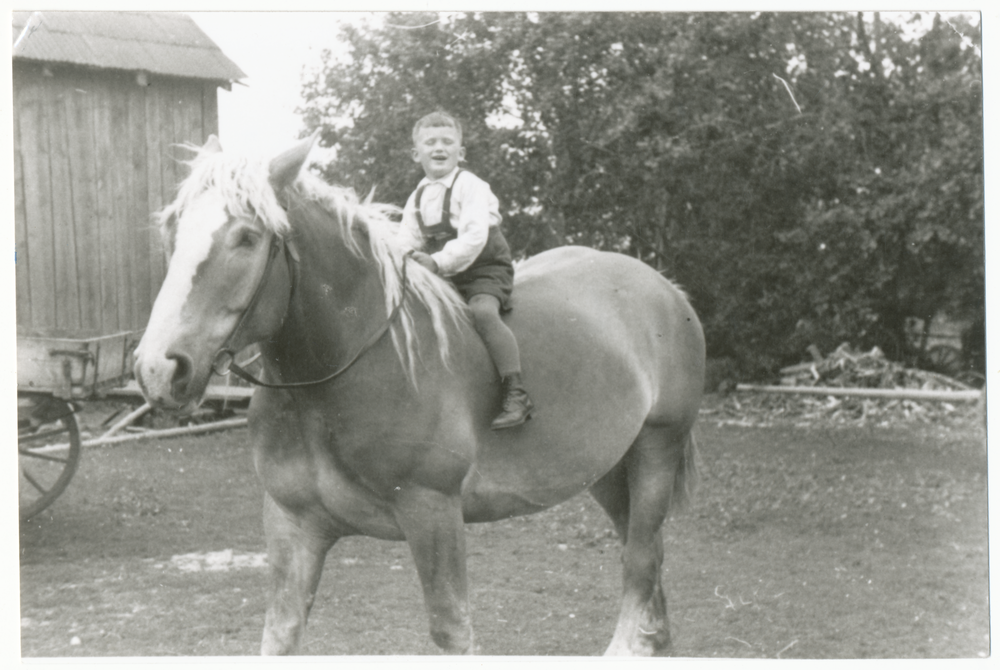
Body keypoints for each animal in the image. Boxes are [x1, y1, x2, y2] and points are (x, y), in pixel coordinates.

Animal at [133, 134, 708, 660]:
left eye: (247, 237)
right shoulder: (291, 525)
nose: (159, 368)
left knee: (640, 559)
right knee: (644, 551)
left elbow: (452, 631)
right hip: (609, 470)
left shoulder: (434, 515)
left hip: (656, 449)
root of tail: (666, 289)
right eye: (171, 231)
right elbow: (281, 634)